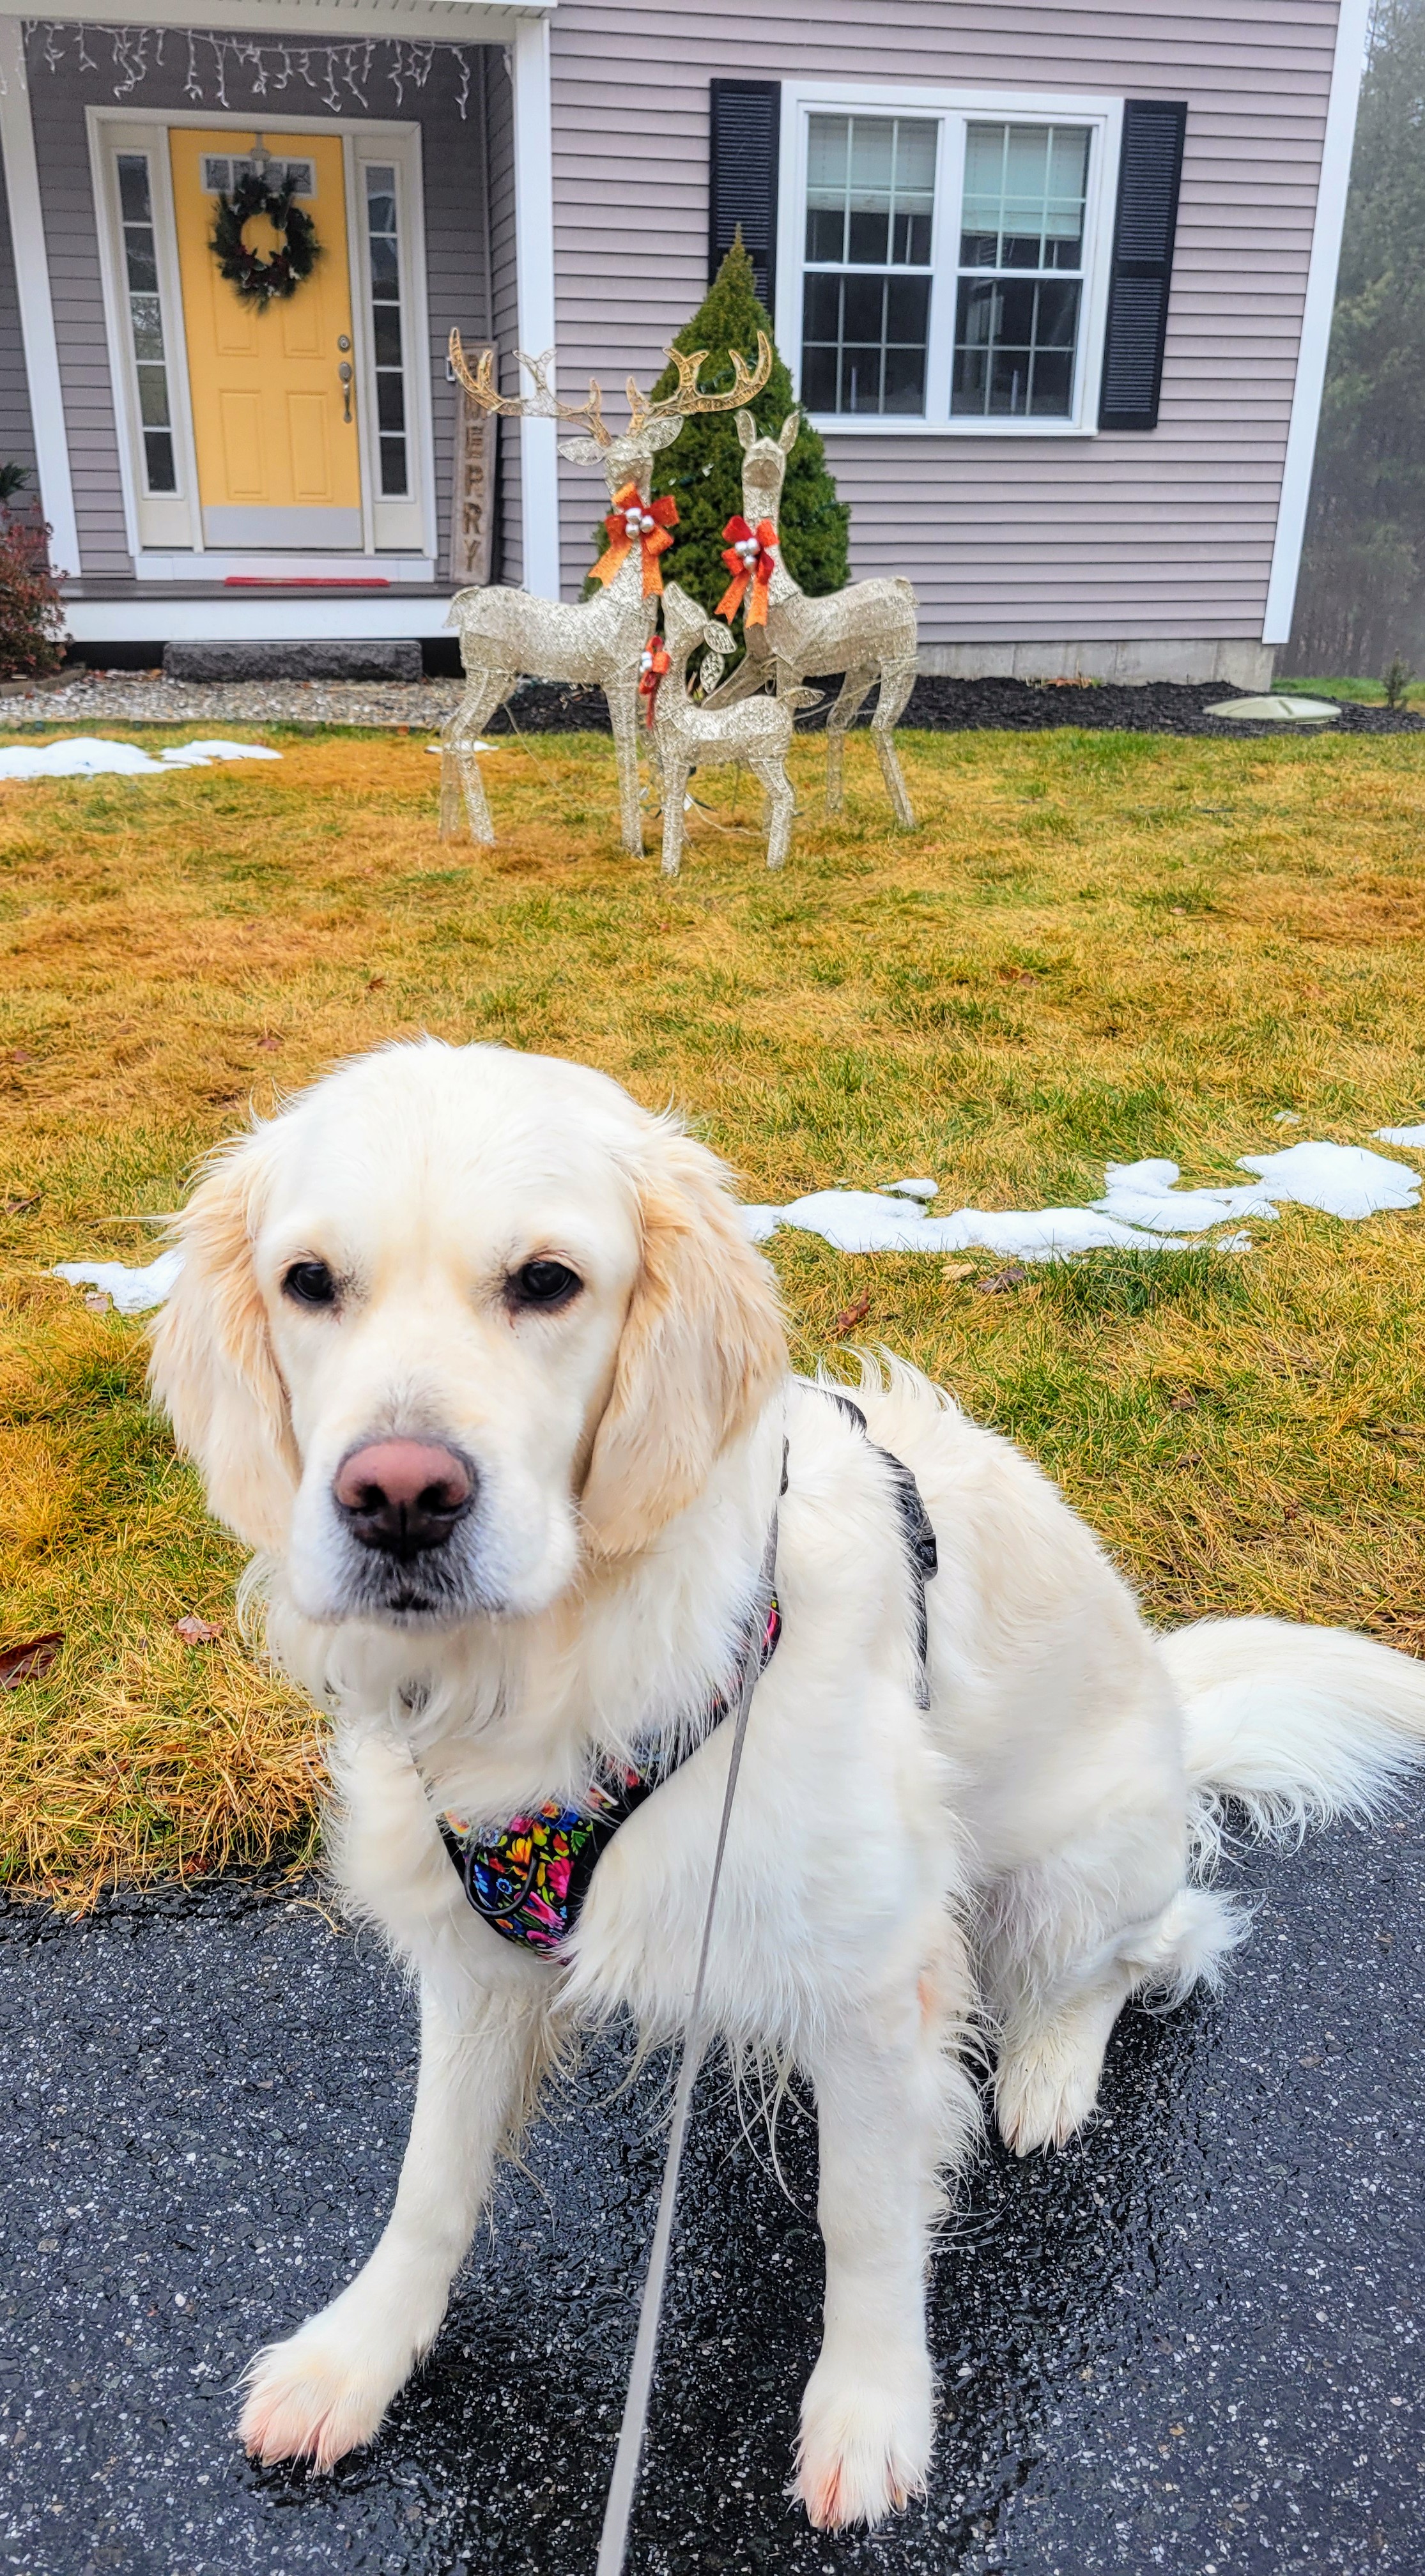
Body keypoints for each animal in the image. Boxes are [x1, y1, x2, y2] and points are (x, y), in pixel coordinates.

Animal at [439, 334, 772, 856]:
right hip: (489, 668)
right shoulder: (616, 673)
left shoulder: (638, 674)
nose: (627, 467)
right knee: (460, 735)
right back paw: (486, 837)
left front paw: (659, 834)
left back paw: (448, 831)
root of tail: (465, 602)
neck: (624, 606)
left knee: (448, 727)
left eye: (645, 453)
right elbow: (625, 754)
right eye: (609, 455)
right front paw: (635, 846)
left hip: (487, 672)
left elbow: (648, 751)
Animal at [647, 579, 820, 879]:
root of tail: (783, 704)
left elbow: (673, 803)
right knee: (792, 790)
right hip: (771, 759)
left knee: (784, 795)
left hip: (765, 759)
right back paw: (782, 855)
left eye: (690, 609)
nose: (671, 587)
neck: (678, 708)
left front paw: (669, 869)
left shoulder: (677, 759)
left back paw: (773, 863)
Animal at [702, 408, 920, 829]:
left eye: (777, 452)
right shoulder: (758, 664)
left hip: (901, 661)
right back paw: (834, 809)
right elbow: (713, 705)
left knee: (880, 726)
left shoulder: (791, 665)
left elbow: (780, 727)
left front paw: (773, 817)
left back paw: (906, 820)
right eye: (751, 451)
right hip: (862, 667)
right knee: (838, 721)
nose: (764, 461)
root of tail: (904, 588)